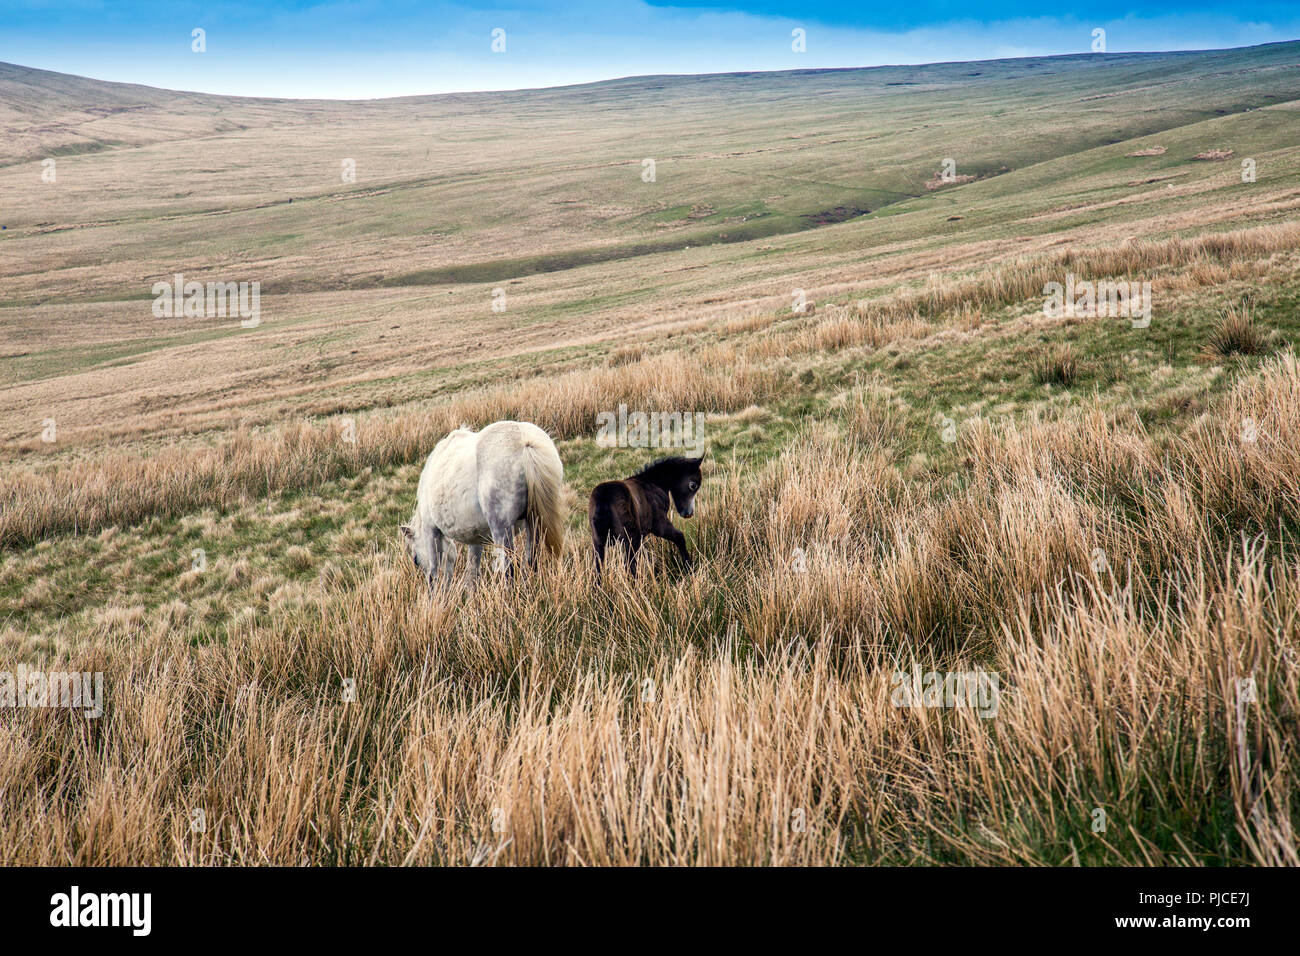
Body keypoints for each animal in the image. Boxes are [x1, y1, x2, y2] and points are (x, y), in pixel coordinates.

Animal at [401, 420, 565, 589]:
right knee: (532, 560)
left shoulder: (430, 530)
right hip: (533, 523)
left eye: (415, 560)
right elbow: (473, 571)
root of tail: (525, 441)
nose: (446, 586)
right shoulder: (475, 538)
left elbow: (433, 572)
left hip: (501, 528)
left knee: (508, 567)